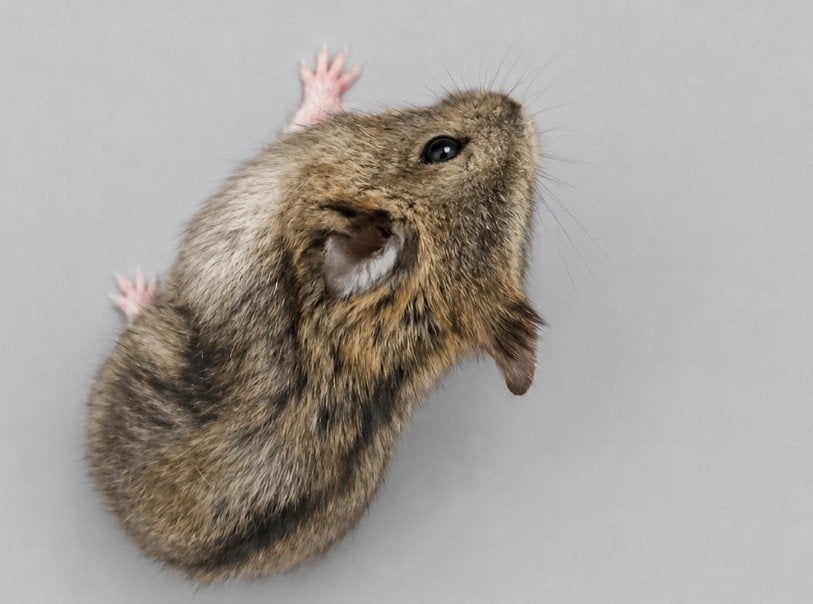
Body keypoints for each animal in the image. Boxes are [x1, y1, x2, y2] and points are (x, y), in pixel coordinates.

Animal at [89, 49, 542, 582]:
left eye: (441, 150)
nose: (515, 104)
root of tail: (143, 537)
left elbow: (306, 114)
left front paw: (328, 69)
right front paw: (336, 66)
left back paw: (135, 291)